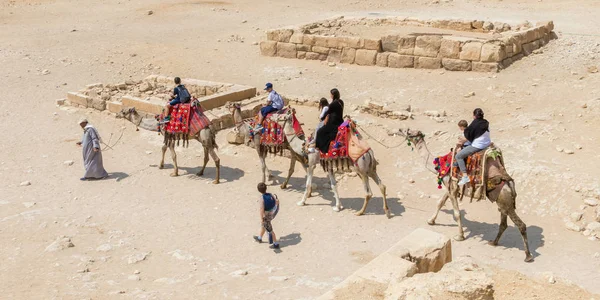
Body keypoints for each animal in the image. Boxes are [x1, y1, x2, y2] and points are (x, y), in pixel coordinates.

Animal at [398, 129, 536, 262]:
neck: (441, 165)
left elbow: (457, 213)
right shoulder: (450, 186)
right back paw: (493, 242)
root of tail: (509, 183)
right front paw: (431, 221)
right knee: (503, 224)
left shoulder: (452, 188)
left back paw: (528, 256)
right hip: (502, 202)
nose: (399, 129)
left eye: (409, 132)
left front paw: (460, 236)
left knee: (521, 225)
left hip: (505, 201)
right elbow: (440, 202)